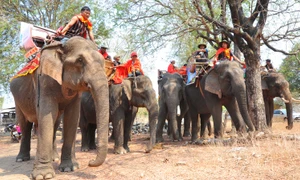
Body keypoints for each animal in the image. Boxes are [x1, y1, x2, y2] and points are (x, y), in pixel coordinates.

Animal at [9, 36, 109, 179]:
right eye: (80, 60)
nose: (90, 161)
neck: (61, 46)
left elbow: (72, 117)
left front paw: (69, 168)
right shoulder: (44, 81)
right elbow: (47, 115)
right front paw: (43, 175)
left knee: (55, 123)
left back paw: (54, 158)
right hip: (18, 101)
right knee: (25, 125)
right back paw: (21, 159)